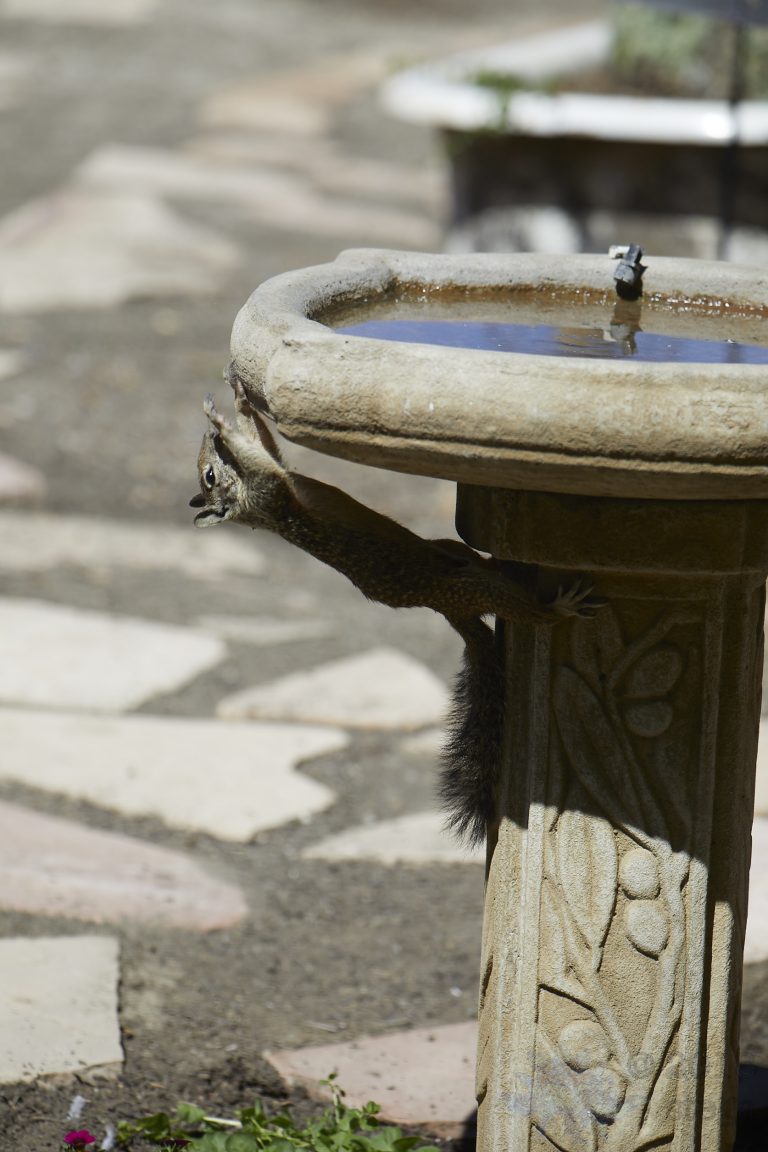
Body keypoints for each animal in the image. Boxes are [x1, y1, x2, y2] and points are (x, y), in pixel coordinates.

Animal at [190, 374, 598, 845]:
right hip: (476, 590)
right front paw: (222, 420)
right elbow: (260, 458)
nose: (209, 438)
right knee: (526, 610)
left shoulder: (274, 479)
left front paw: (237, 400)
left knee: (470, 557)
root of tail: (448, 610)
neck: (249, 510)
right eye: (210, 474)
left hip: (451, 552)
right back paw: (560, 608)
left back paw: (501, 561)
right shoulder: (268, 491)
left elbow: (266, 445)